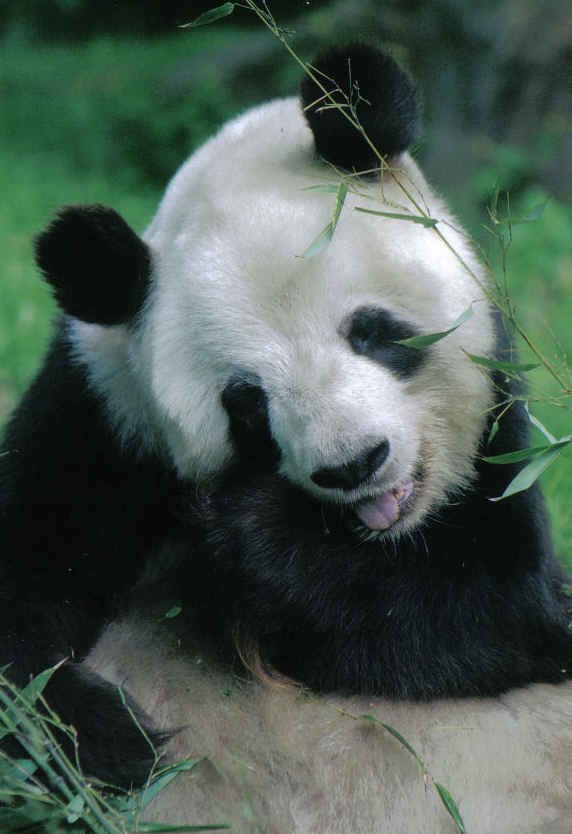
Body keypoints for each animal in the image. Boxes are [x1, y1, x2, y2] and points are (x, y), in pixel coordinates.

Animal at [1, 42, 572, 828]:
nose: (355, 465)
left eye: (370, 330)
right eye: (245, 403)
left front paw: (253, 536)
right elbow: (23, 581)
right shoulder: (99, 414)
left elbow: (492, 608)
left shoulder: (503, 440)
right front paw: (105, 741)